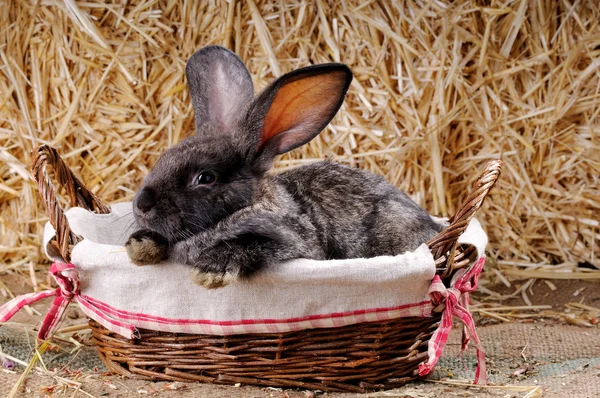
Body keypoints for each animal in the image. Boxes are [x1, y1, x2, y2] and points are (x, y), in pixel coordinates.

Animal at [124, 45, 442, 290]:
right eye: (164, 158)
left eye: (205, 177)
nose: (142, 205)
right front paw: (139, 247)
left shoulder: (292, 242)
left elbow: (248, 245)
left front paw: (211, 272)